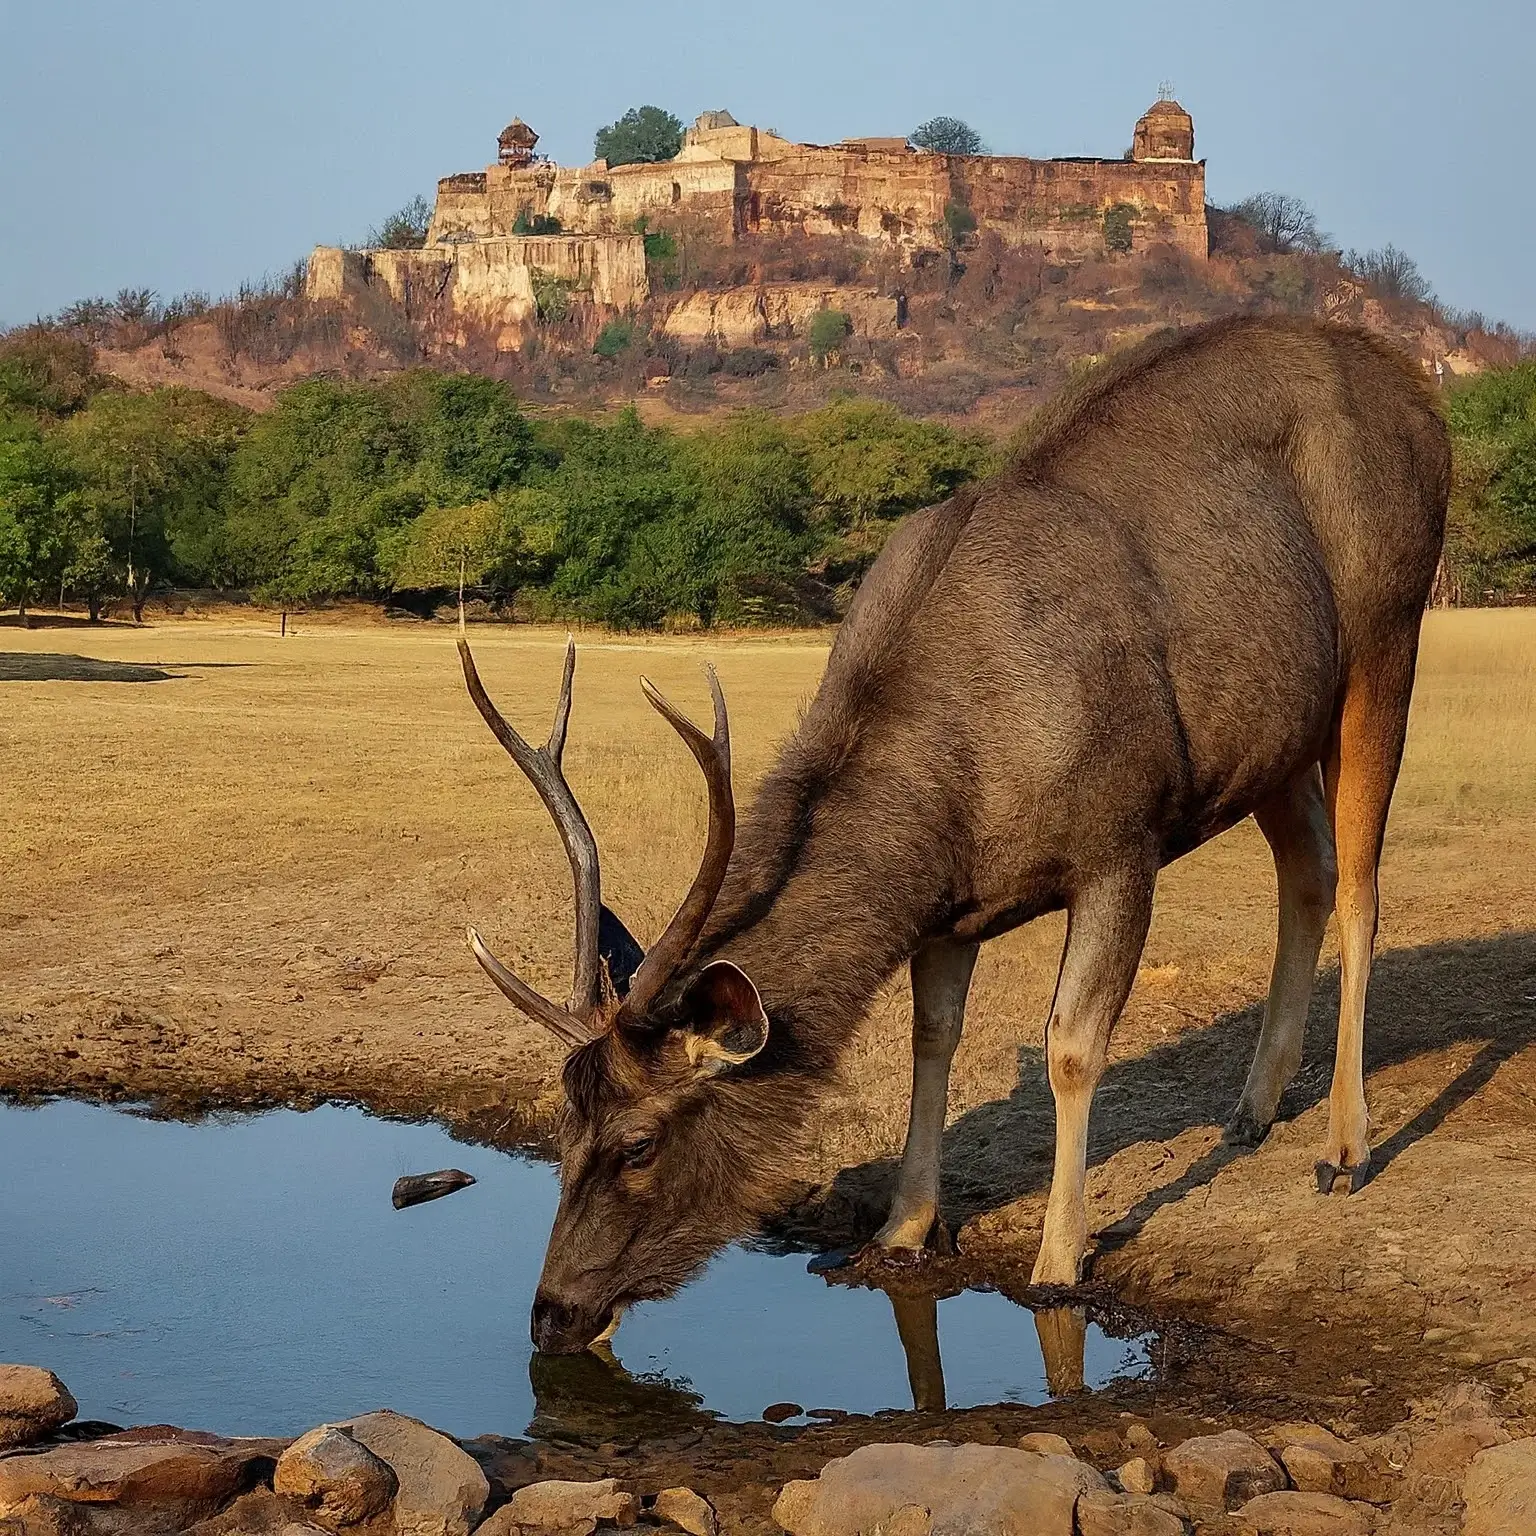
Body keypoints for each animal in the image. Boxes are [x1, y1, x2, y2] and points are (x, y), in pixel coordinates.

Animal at [460, 317, 1443, 1351]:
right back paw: (1252, 1108)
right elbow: (933, 1036)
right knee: (1310, 869)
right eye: (559, 1121)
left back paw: (1343, 1145)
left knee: (1363, 883)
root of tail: (1421, 397)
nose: (551, 1314)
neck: (962, 791)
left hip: (1388, 630)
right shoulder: (946, 910)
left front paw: (1060, 1257)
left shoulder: (1123, 835)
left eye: (640, 1142)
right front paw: (899, 1229)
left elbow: (1071, 1045)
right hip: (1274, 736)